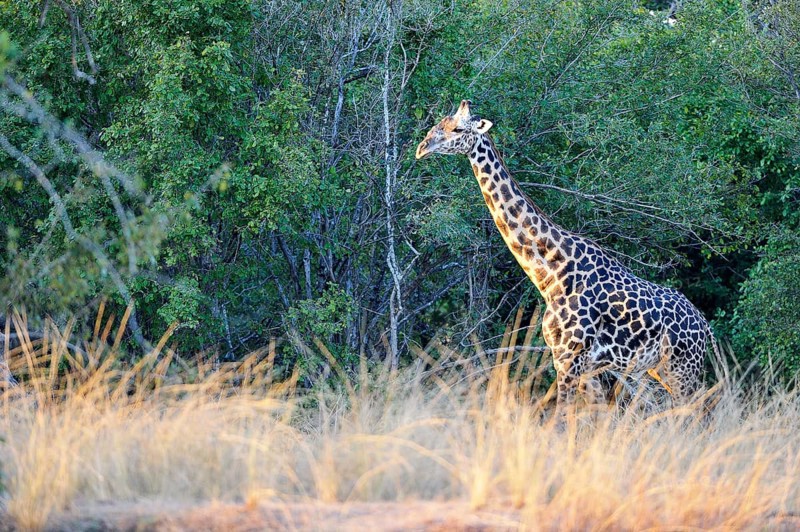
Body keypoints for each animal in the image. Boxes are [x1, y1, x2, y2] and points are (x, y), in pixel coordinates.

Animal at [416, 100, 712, 409]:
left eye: (458, 129)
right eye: (439, 123)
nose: (422, 148)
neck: (551, 273)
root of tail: (706, 328)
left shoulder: (571, 358)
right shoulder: (573, 362)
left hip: (682, 370)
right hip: (655, 370)